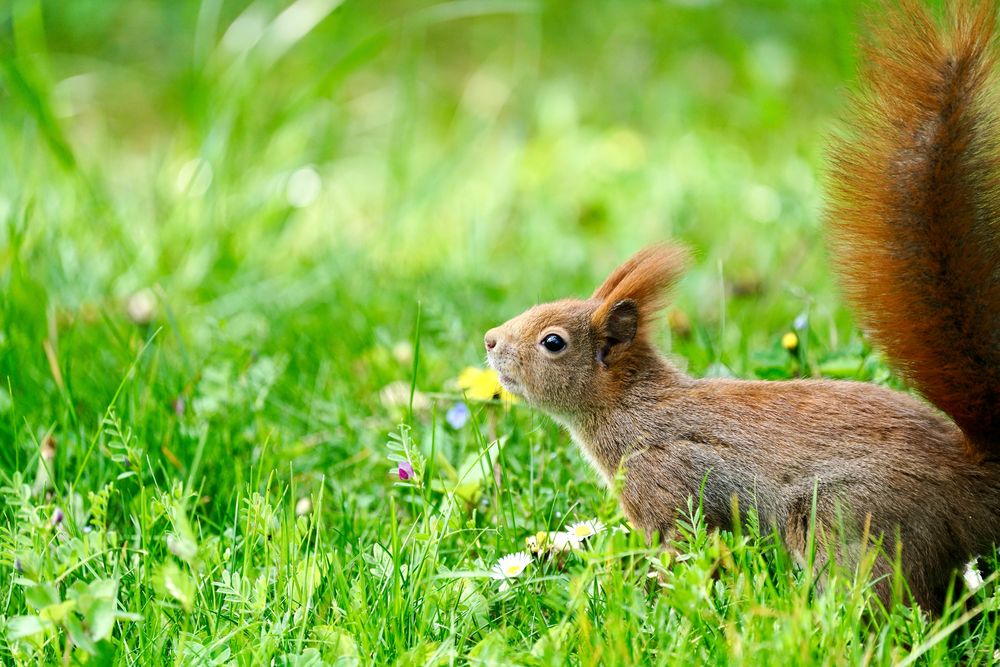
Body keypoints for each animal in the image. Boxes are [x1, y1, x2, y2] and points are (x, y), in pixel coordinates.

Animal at [482, 0, 1000, 612]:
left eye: (553, 342)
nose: (490, 341)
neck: (635, 409)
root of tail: (973, 478)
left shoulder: (667, 484)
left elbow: (675, 552)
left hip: (853, 522)